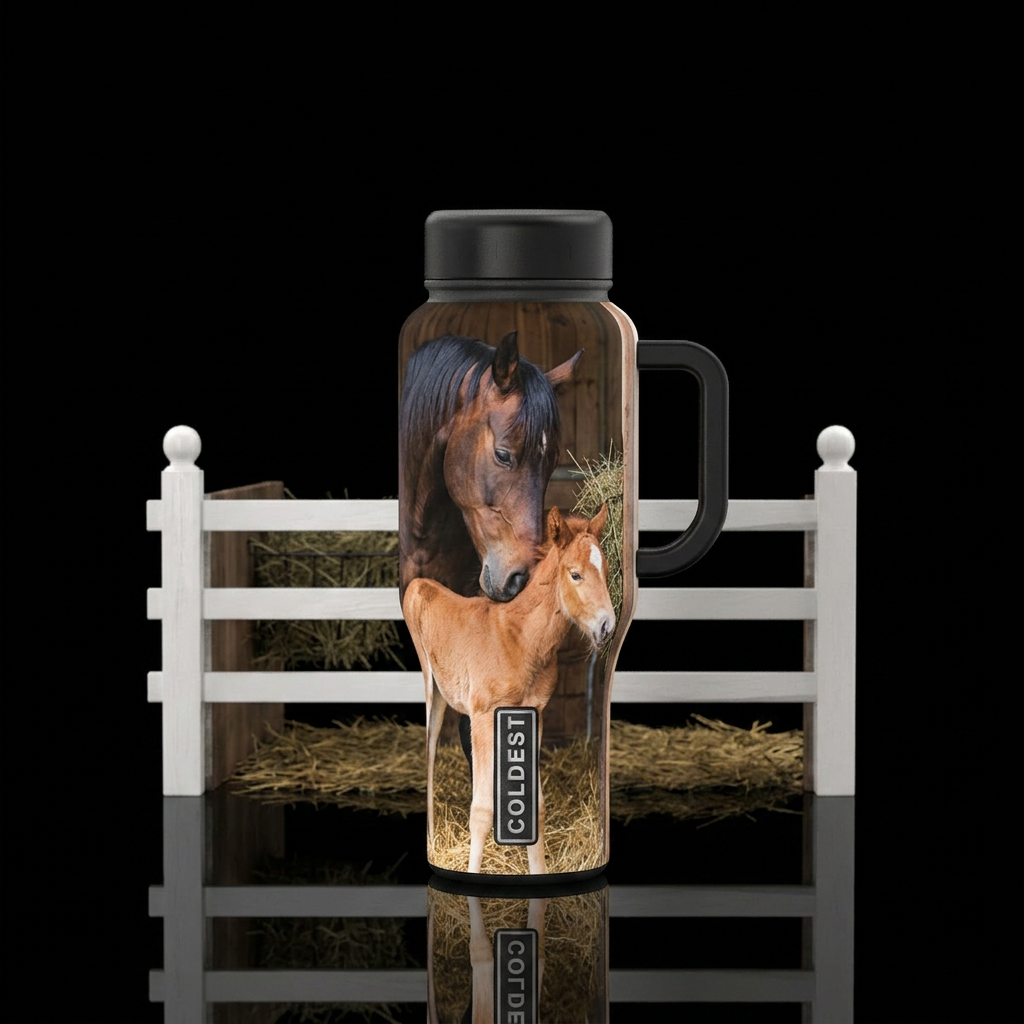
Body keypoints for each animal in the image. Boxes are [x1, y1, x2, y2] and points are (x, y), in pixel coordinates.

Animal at [403, 504, 614, 875]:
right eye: (575, 575)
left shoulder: (535, 711)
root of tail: (418, 584)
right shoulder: (483, 715)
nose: (607, 626)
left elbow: (536, 805)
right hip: (434, 690)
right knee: (429, 748)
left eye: (605, 569)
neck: (520, 638)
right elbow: (481, 810)